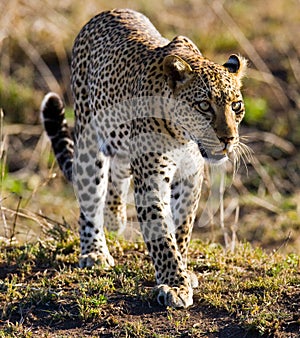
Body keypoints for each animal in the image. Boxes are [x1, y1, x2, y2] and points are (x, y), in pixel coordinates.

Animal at [41, 7, 247, 308]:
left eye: (236, 106)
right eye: (204, 106)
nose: (228, 139)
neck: (182, 137)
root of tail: (107, 12)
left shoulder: (190, 177)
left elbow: (182, 227)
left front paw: (183, 271)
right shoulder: (151, 179)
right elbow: (161, 234)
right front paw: (174, 285)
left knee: (117, 173)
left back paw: (114, 217)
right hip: (88, 144)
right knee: (90, 198)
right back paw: (94, 252)